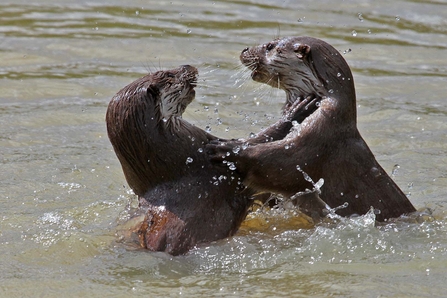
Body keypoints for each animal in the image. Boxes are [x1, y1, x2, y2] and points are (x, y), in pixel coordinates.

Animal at [106, 64, 320, 254]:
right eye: (168, 74)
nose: (188, 66)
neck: (177, 157)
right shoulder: (213, 162)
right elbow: (260, 141)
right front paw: (298, 109)